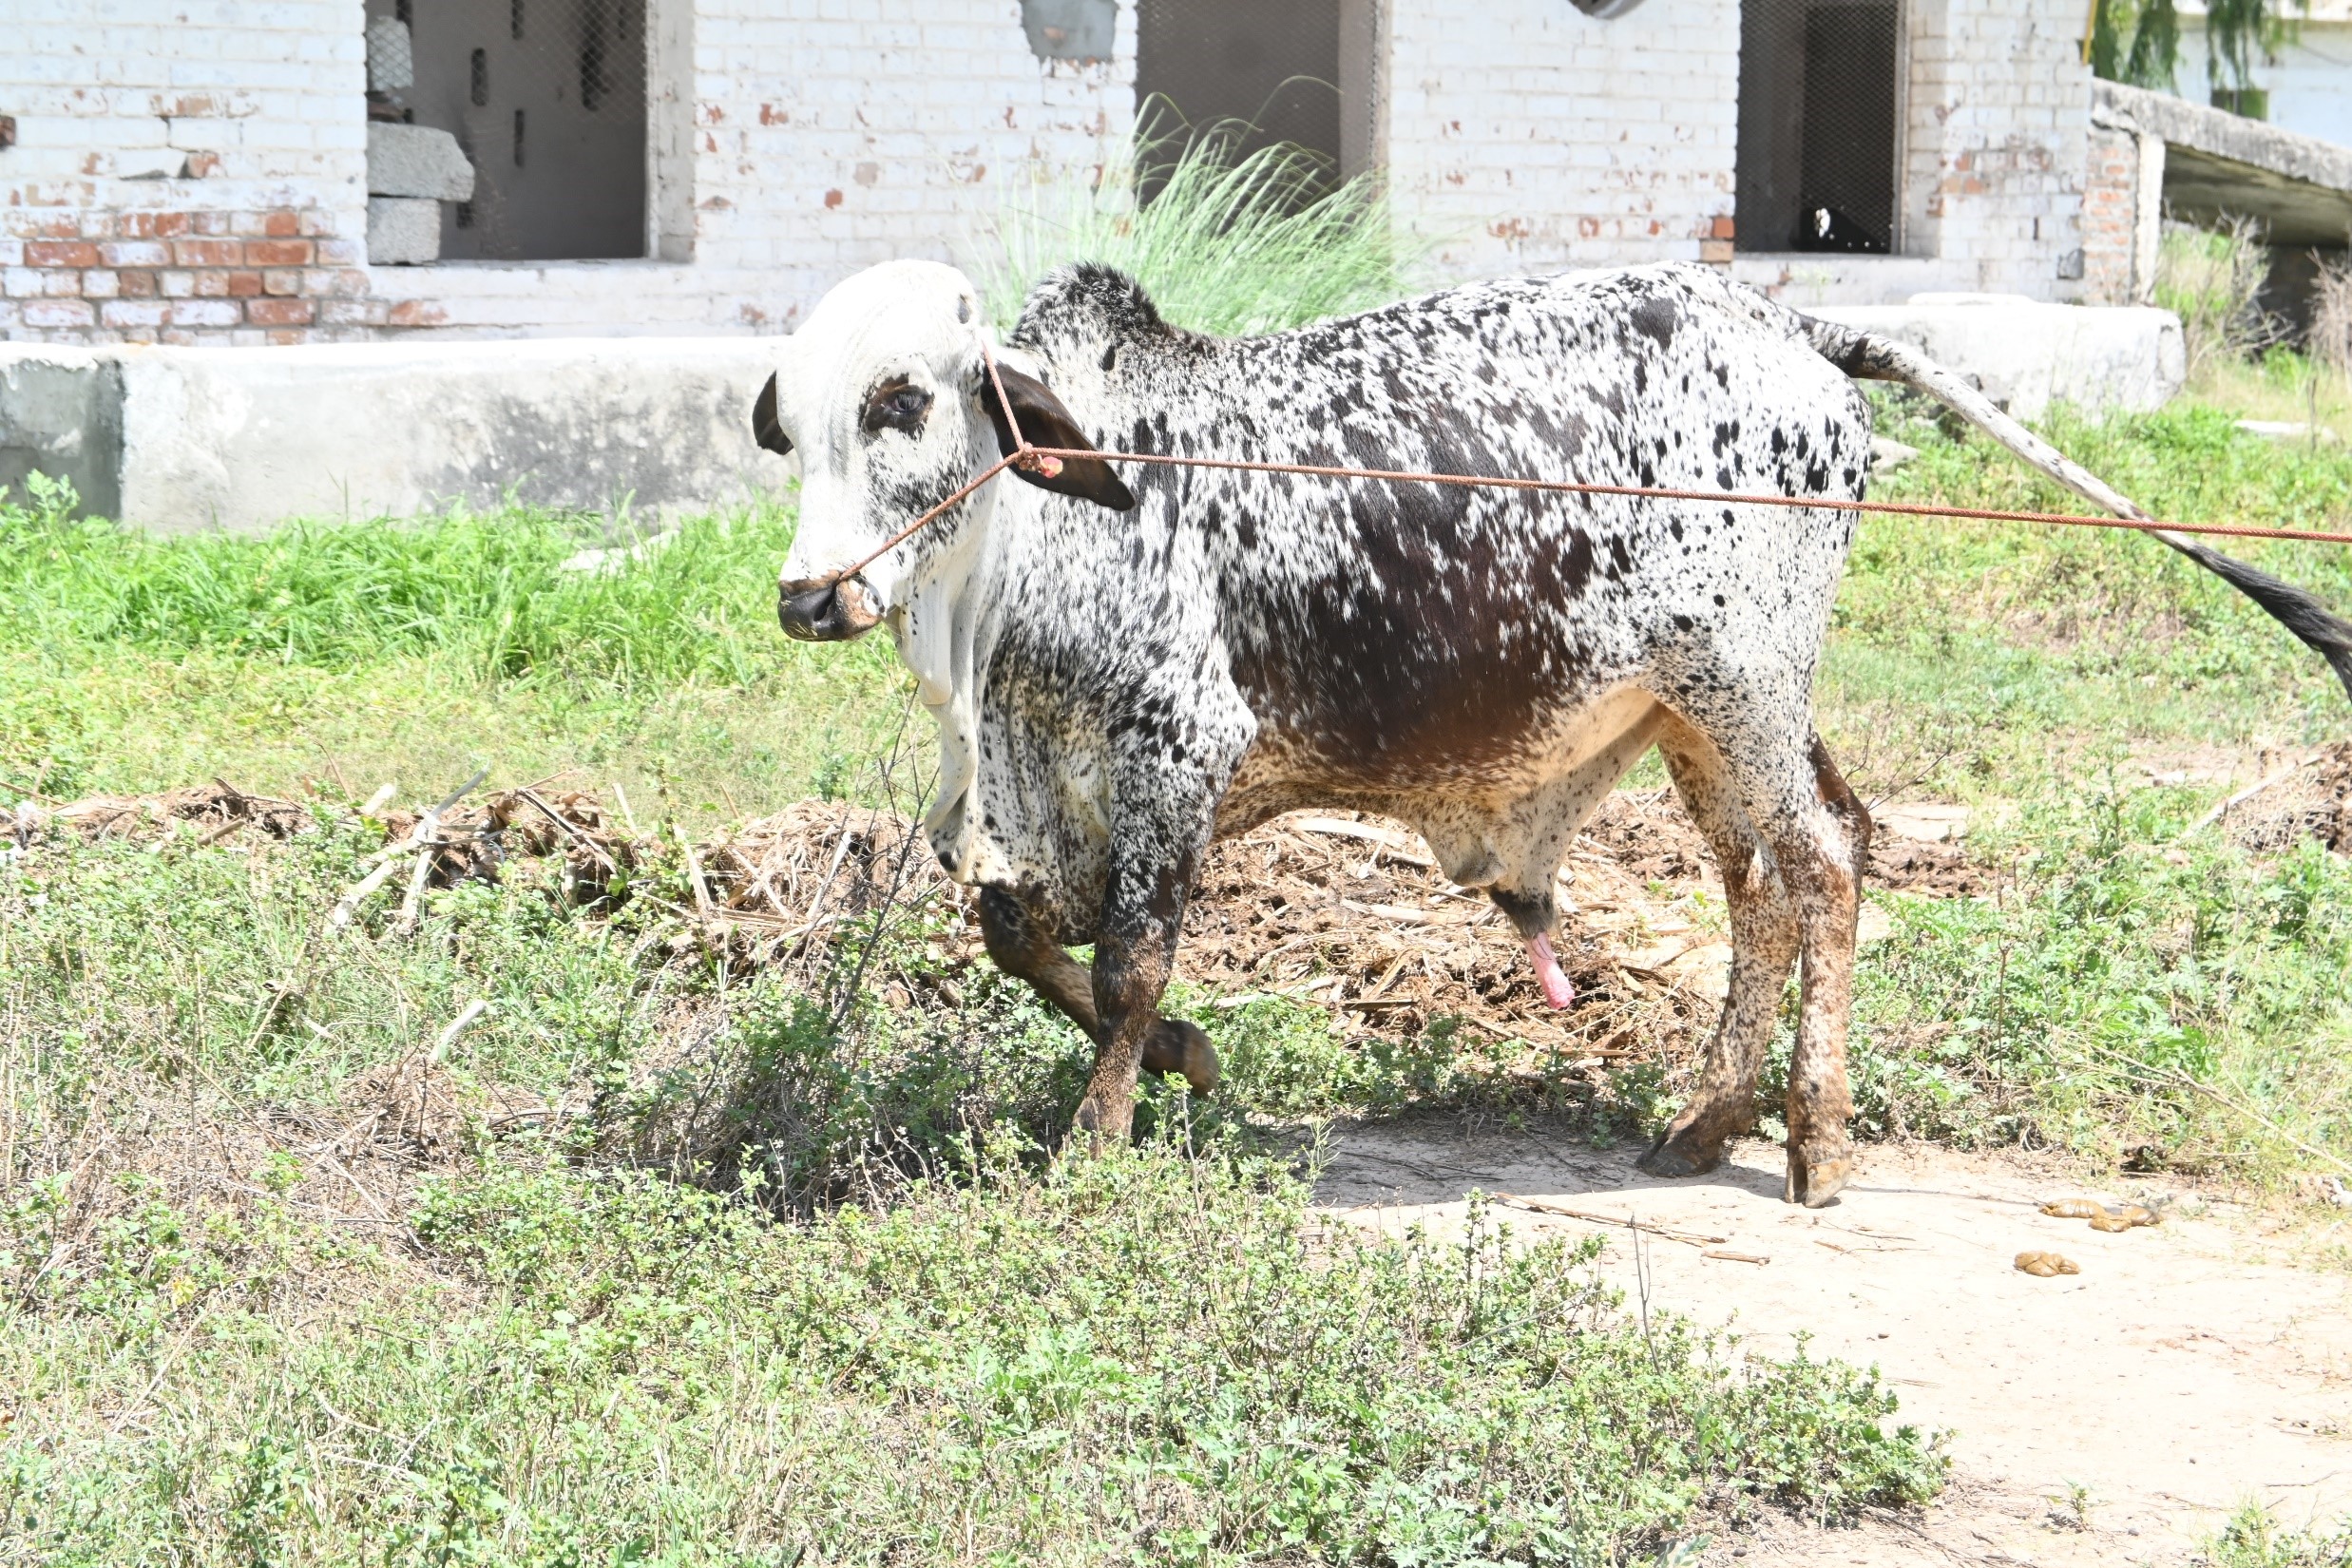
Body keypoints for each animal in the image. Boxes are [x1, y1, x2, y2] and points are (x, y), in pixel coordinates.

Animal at [756, 258, 2352, 1206]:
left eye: (902, 402)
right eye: (797, 420)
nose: (809, 596)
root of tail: (1789, 323)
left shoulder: (1171, 755)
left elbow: (1129, 964)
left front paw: (1095, 1142)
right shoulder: (1046, 796)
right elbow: (1023, 939)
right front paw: (1192, 1065)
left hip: (1741, 686)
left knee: (1824, 867)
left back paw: (1811, 1139)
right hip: (1698, 721)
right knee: (1763, 883)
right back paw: (1704, 1117)